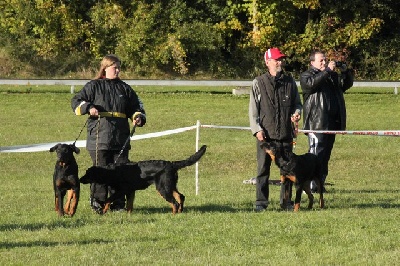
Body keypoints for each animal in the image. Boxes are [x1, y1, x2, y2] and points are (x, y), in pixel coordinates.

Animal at [80, 144, 208, 215]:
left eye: (87, 173)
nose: (80, 179)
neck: (111, 172)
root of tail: (171, 164)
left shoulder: (122, 190)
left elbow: (108, 200)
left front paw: (104, 211)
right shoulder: (131, 191)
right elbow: (129, 206)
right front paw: (128, 216)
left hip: (162, 188)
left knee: (174, 202)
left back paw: (174, 215)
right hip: (169, 185)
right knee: (180, 196)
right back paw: (180, 212)